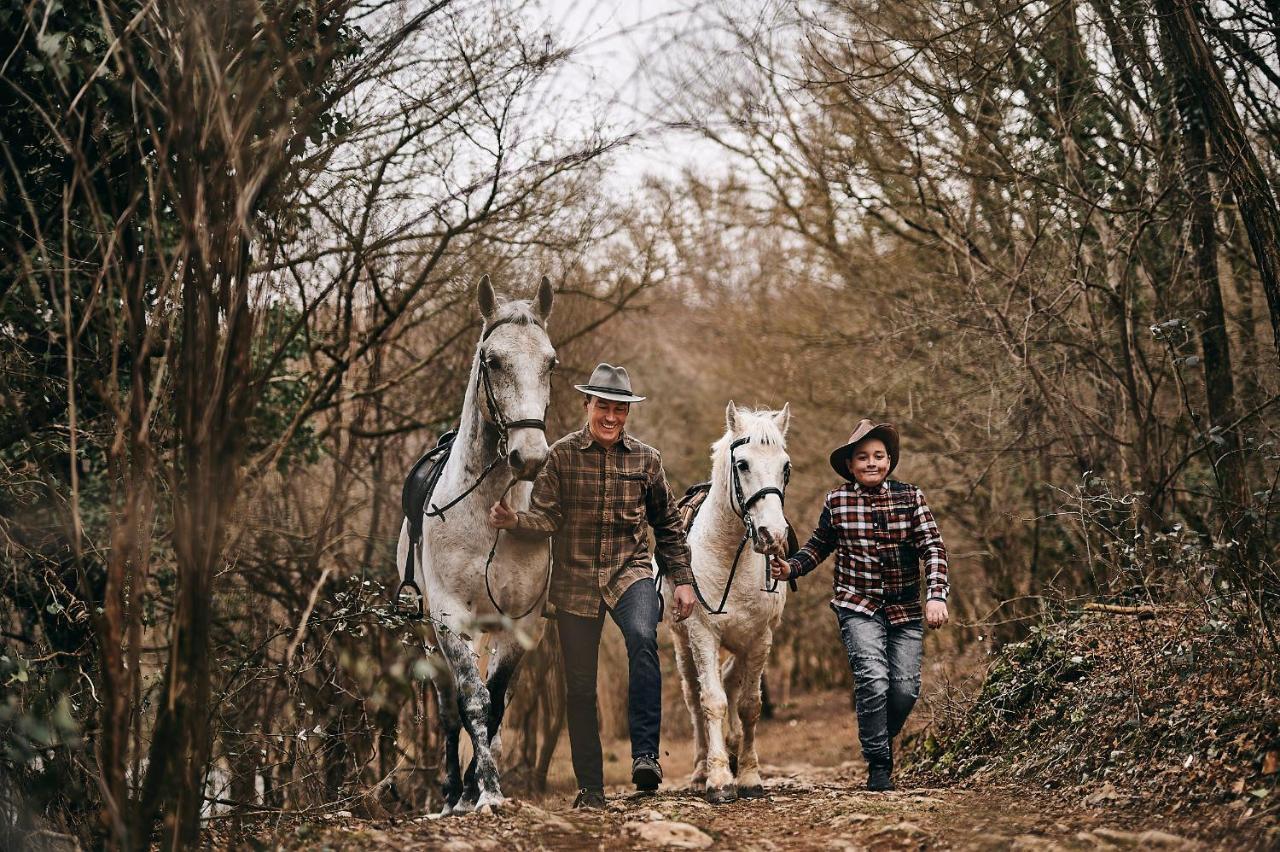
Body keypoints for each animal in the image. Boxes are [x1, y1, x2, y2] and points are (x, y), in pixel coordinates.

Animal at [394, 275, 555, 813]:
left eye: (551, 362)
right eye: (493, 360)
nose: (530, 457)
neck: (489, 512)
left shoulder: (520, 624)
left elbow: (497, 701)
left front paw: (483, 789)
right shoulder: (449, 619)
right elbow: (472, 701)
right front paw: (481, 791)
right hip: (430, 631)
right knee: (449, 710)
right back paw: (450, 794)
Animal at [665, 401, 793, 798]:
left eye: (785, 467)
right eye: (743, 465)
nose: (773, 535)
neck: (728, 554)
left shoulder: (760, 638)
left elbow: (749, 704)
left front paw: (749, 773)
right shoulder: (702, 633)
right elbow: (713, 700)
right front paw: (719, 777)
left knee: (732, 680)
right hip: (682, 642)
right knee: (694, 697)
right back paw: (700, 768)